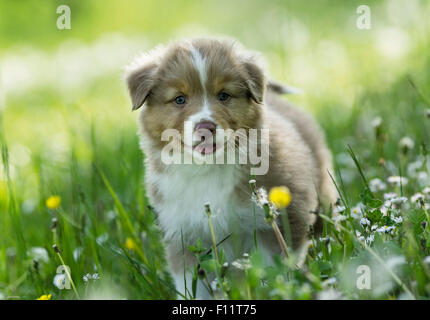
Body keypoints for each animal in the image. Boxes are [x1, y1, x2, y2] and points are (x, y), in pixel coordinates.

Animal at [123, 38, 336, 300]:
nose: (205, 127)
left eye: (224, 95)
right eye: (179, 99)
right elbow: (192, 283)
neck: (208, 168)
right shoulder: (184, 233)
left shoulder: (281, 219)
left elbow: (276, 267)